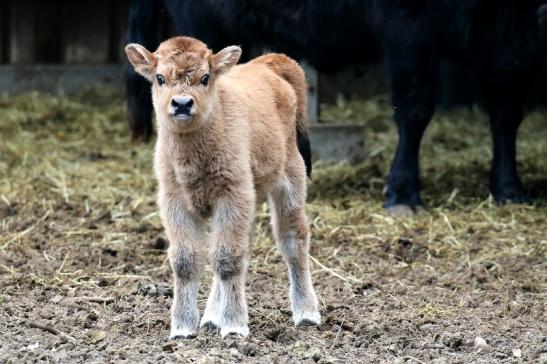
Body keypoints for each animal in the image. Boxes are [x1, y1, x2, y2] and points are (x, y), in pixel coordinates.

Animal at [125, 0, 547, 212]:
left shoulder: (504, 48)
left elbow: (507, 114)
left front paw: (509, 189)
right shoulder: (409, 34)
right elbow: (415, 110)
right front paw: (403, 194)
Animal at [126, 36, 318, 338]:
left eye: (205, 77)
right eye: (159, 78)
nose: (182, 104)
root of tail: (269, 63)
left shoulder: (233, 194)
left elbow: (228, 259)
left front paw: (235, 326)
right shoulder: (175, 200)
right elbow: (186, 260)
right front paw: (182, 328)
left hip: (290, 180)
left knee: (293, 238)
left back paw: (306, 313)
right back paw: (211, 319)